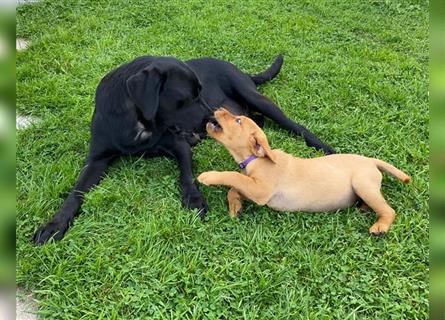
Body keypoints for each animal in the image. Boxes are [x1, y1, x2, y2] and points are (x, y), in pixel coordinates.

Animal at [33, 55, 332, 245]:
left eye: (200, 92)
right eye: (185, 98)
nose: (212, 118)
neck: (138, 120)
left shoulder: (178, 145)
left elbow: (186, 175)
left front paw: (194, 199)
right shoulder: (97, 158)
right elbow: (76, 192)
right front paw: (54, 224)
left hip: (255, 97)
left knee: (295, 125)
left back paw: (324, 147)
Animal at [198, 108, 410, 235]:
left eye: (238, 121)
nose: (219, 109)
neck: (256, 159)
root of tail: (371, 161)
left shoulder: (261, 191)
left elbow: (232, 176)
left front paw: (208, 176)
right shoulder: (253, 189)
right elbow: (234, 188)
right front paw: (236, 207)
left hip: (362, 183)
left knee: (389, 210)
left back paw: (380, 226)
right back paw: (364, 208)